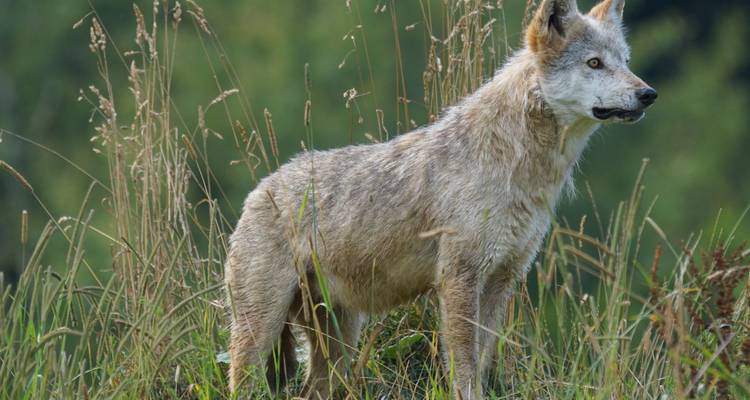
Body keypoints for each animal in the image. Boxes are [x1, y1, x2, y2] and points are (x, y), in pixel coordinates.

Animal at [225, 0, 657, 398]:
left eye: (625, 61)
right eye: (595, 63)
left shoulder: (502, 280)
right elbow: (463, 368)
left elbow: (481, 362)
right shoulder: (459, 279)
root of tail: (258, 191)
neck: (518, 166)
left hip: (338, 342)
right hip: (262, 333)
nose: (648, 94)